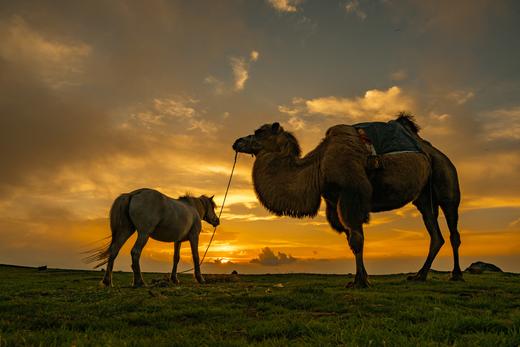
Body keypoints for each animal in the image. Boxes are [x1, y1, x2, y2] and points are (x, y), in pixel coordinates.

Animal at [234, 114, 462, 288]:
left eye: (259, 132)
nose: (237, 141)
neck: (318, 166)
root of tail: (435, 152)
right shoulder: (335, 203)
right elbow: (352, 240)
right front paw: (362, 278)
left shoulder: (352, 195)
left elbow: (357, 239)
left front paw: (360, 282)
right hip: (423, 197)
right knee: (435, 234)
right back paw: (419, 275)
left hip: (446, 180)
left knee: (453, 229)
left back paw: (456, 274)